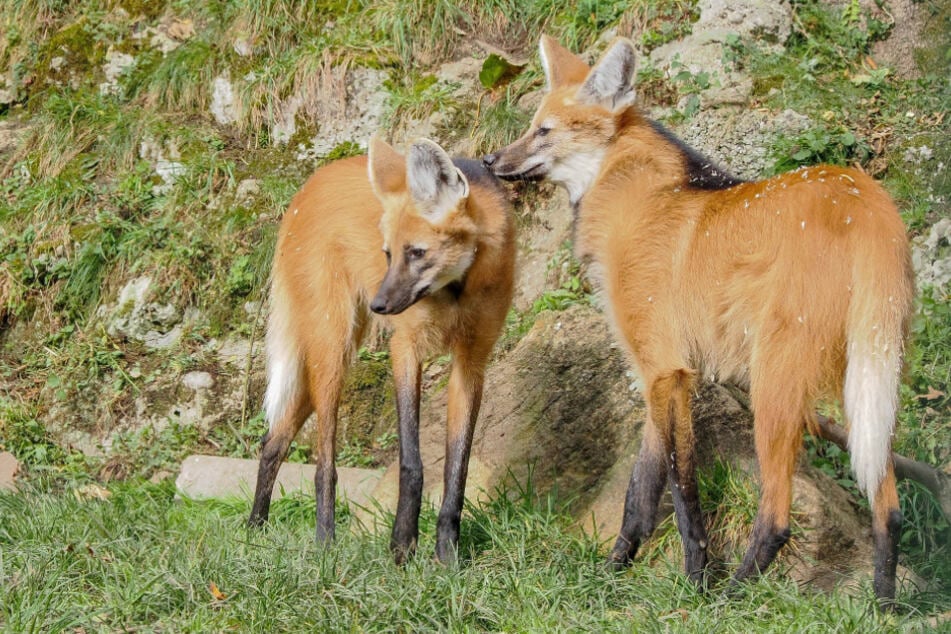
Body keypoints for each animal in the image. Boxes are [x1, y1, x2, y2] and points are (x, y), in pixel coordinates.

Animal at [249, 136, 516, 560]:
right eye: (388, 253)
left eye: (417, 252)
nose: (380, 305)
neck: (456, 290)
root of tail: (308, 186)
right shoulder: (405, 348)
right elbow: (412, 460)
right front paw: (402, 546)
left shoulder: (471, 361)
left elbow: (457, 469)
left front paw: (447, 558)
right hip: (334, 347)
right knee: (323, 462)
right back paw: (325, 543)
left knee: (273, 439)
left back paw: (254, 531)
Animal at [484, 35, 916, 604]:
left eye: (543, 130)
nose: (490, 159)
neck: (631, 200)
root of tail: (865, 197)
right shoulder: (655, 374)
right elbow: (639, 495)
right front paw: (613, 571)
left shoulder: (668, 372)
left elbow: (682, 492)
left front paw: (695, 582)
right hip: (866, 375)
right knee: (888, 507)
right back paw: (884, 606)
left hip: (773, 385)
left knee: (778, 516)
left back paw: (733, 597)